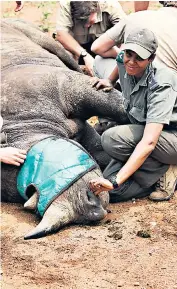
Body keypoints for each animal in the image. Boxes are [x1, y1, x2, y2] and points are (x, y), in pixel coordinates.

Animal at [1, 18, 129, 238]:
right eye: (28, 191)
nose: (90, 212)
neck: (22, 127)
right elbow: (100, 151)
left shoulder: (60, 85)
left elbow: (116, 103)